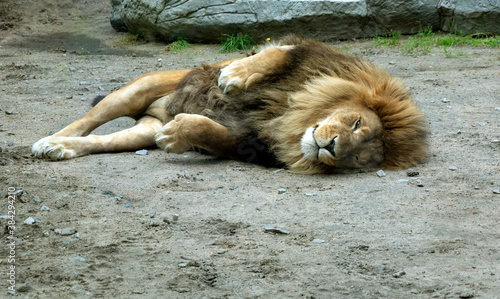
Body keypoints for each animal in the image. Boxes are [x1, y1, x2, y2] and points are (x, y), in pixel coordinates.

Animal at [32, 36, 430, 175]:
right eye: (357, 124)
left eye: (355, 159)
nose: (331, 148)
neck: (290, 117)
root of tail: (155, 112)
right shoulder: (311, 55)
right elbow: (276, 54)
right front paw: (235, 76)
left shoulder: (251, 141)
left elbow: (217, 136)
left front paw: (178, 133)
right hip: (136, 90)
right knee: (86, 121)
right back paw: (48, 141)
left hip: (141, 131)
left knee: (101, 142)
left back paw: (63, 149)